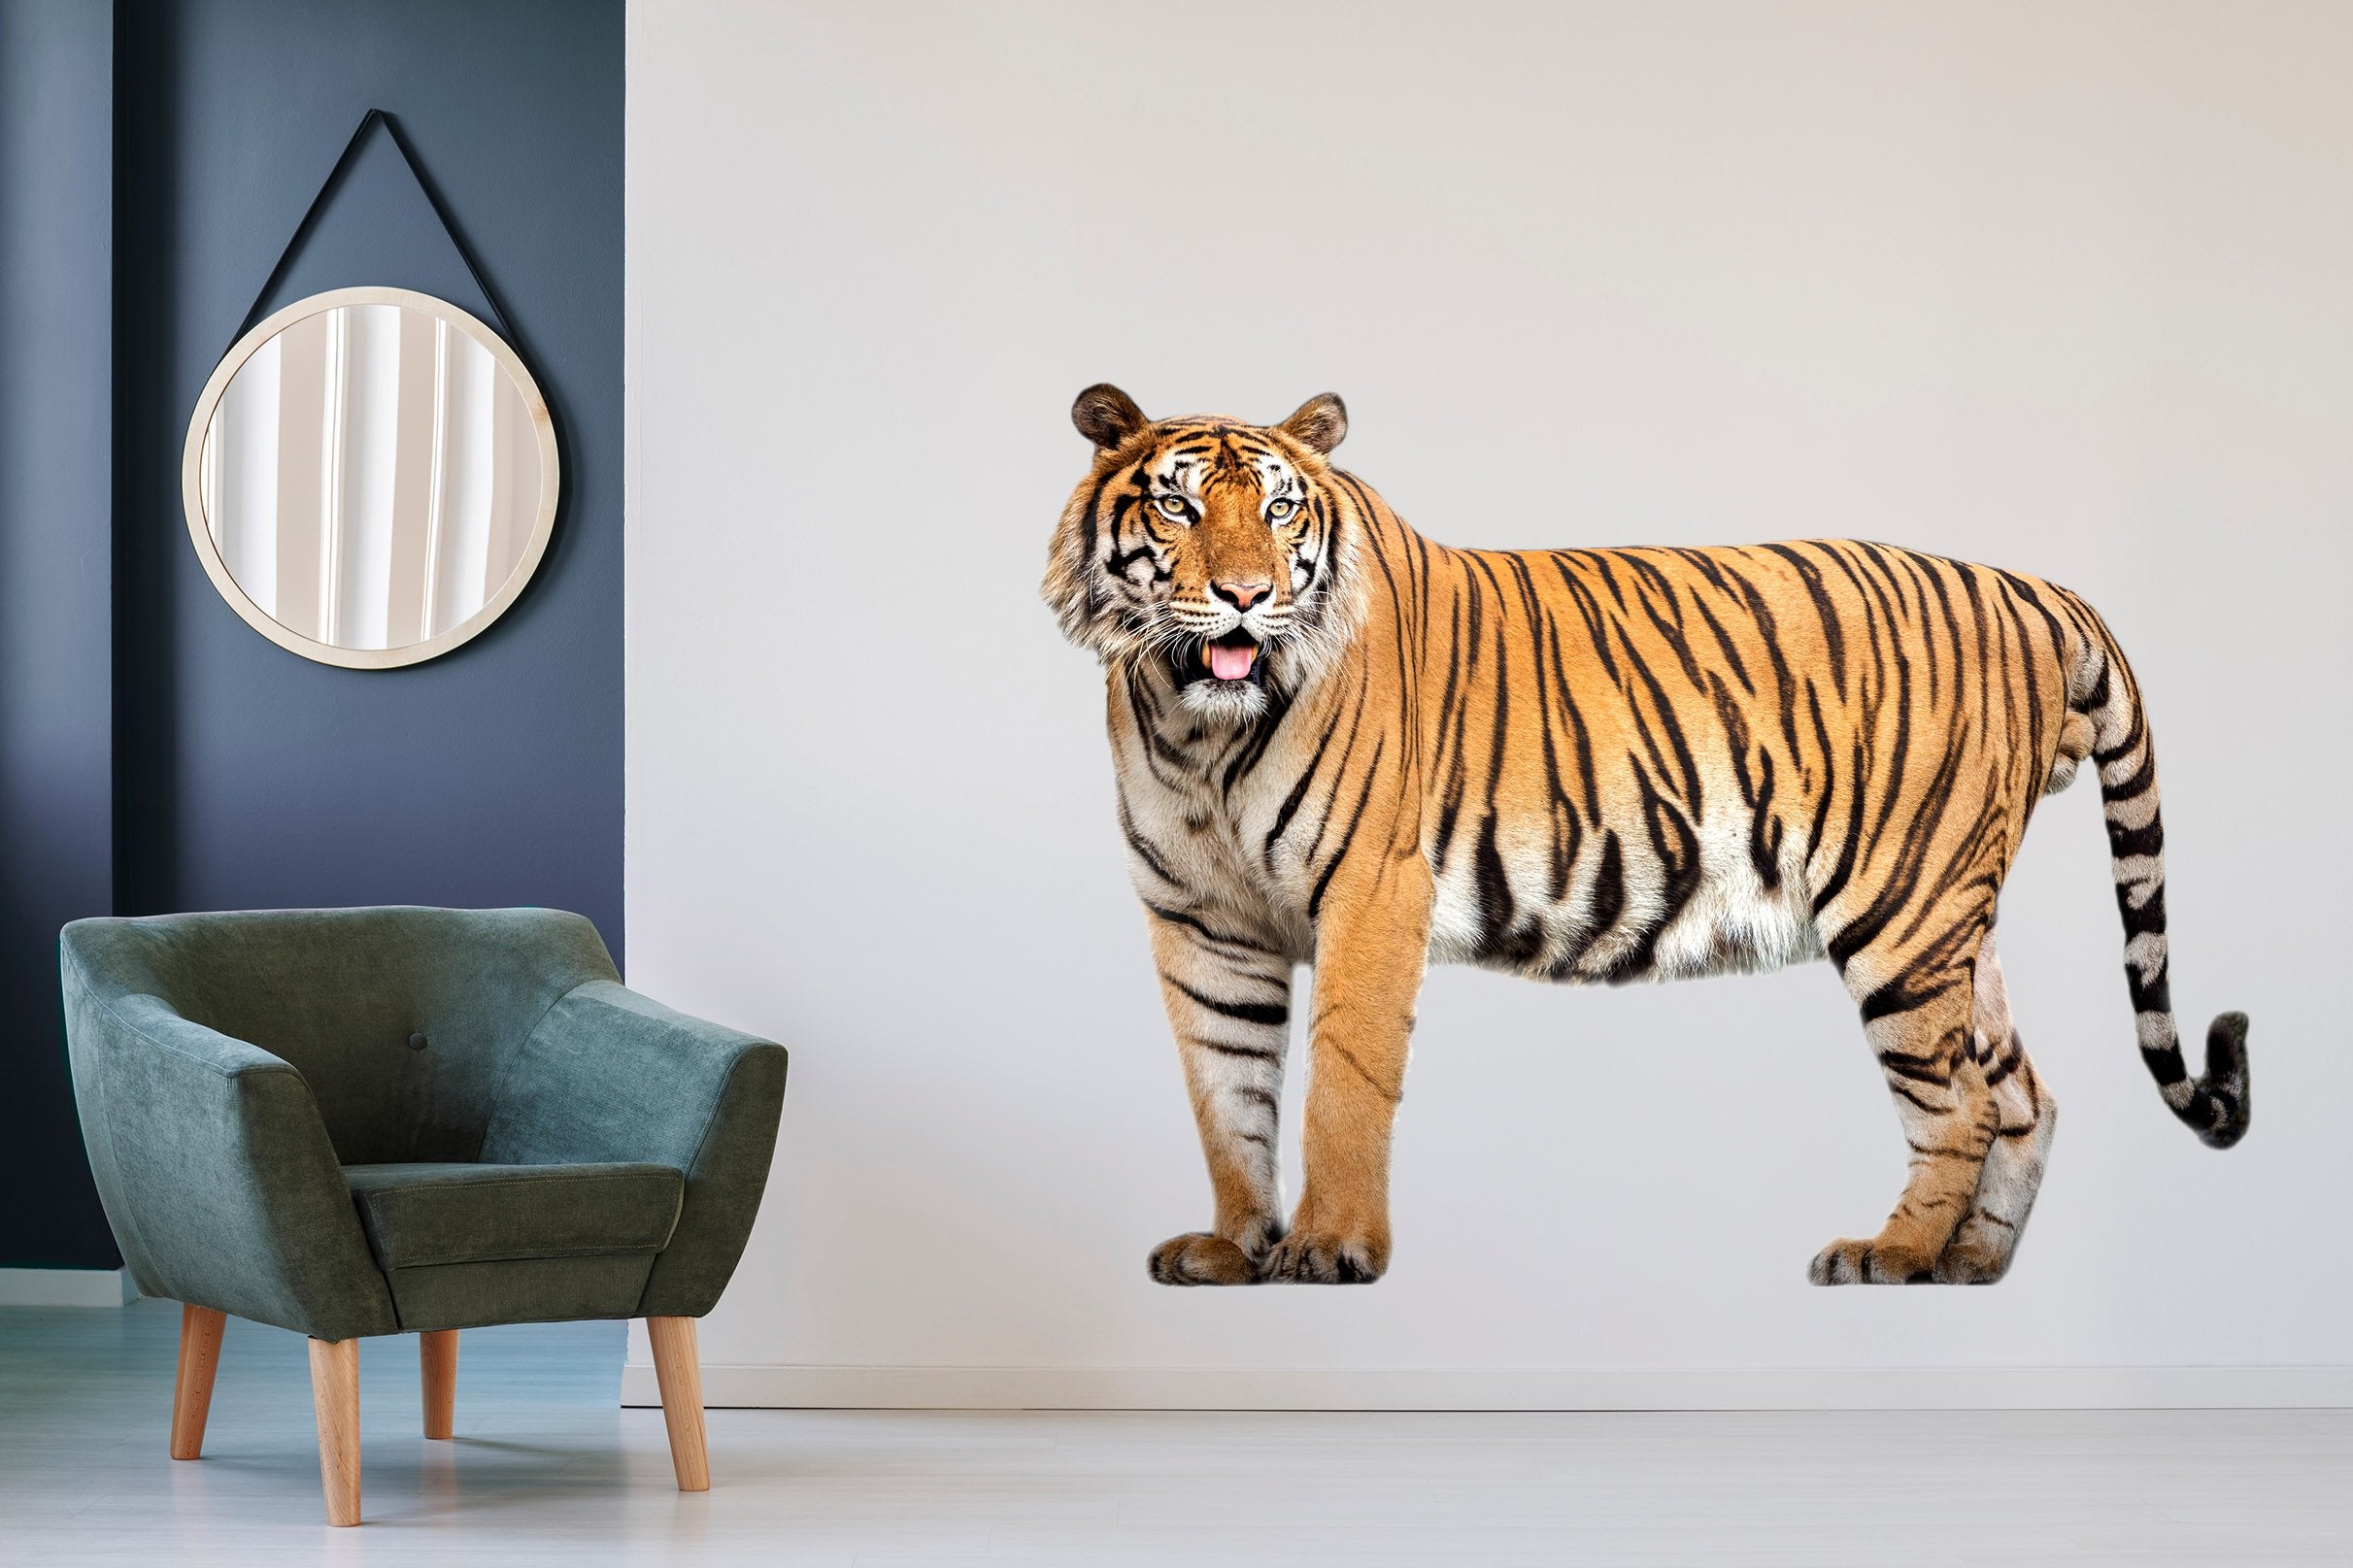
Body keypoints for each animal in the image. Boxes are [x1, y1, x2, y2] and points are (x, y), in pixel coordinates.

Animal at [1041, 383, 2251, 1287]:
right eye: (1178, 510)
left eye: (1282, 512)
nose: (1245, 596)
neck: (1194, 725)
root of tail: (2027, 587)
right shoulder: (1201, 923)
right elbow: (1225, 1087)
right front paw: (1230, 1246)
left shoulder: (1369, 892)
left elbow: (1342, 1078)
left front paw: (1330, 1247)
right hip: (1955, 919)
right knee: (2019, 1093)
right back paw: (1970, 1267)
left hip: (1901, 909)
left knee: (1955, 1099)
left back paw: (1893, 1256)